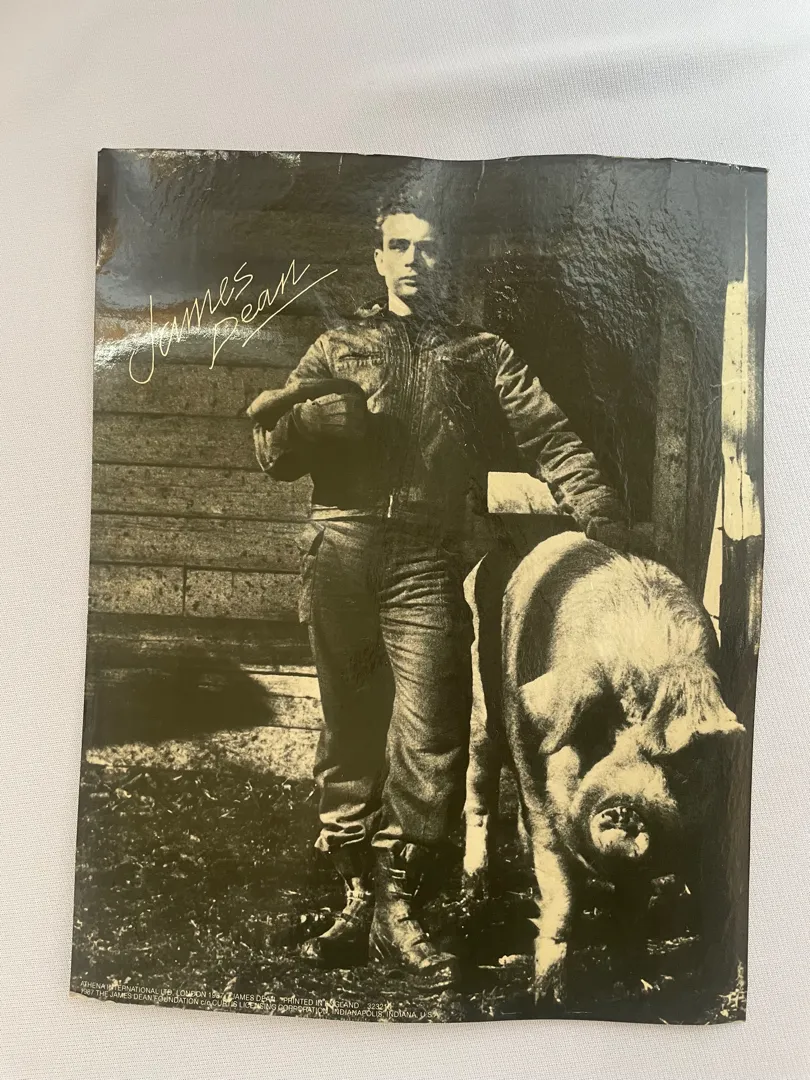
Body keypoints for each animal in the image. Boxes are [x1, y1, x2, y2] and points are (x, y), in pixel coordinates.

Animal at [461, 529, 745, 1003]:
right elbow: (561, 897)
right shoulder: (543, 802)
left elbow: (633, 905)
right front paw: (548, 997)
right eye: (594, 737)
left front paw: (640, 984)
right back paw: (474, 888)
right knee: (479, 794)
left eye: (680, 762)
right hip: (481, 712)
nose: (625, 806)